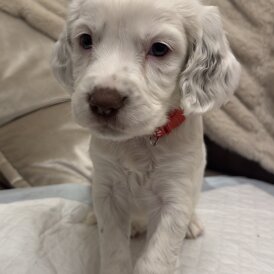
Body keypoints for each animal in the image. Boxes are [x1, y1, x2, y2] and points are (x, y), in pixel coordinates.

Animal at [51, 0, 240, 272]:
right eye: (85, 40)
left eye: (159, 49)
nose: (103, 103)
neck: (139, 140)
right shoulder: (107, 191)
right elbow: (113, 248)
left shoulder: (175, 197)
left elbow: (155, 260)